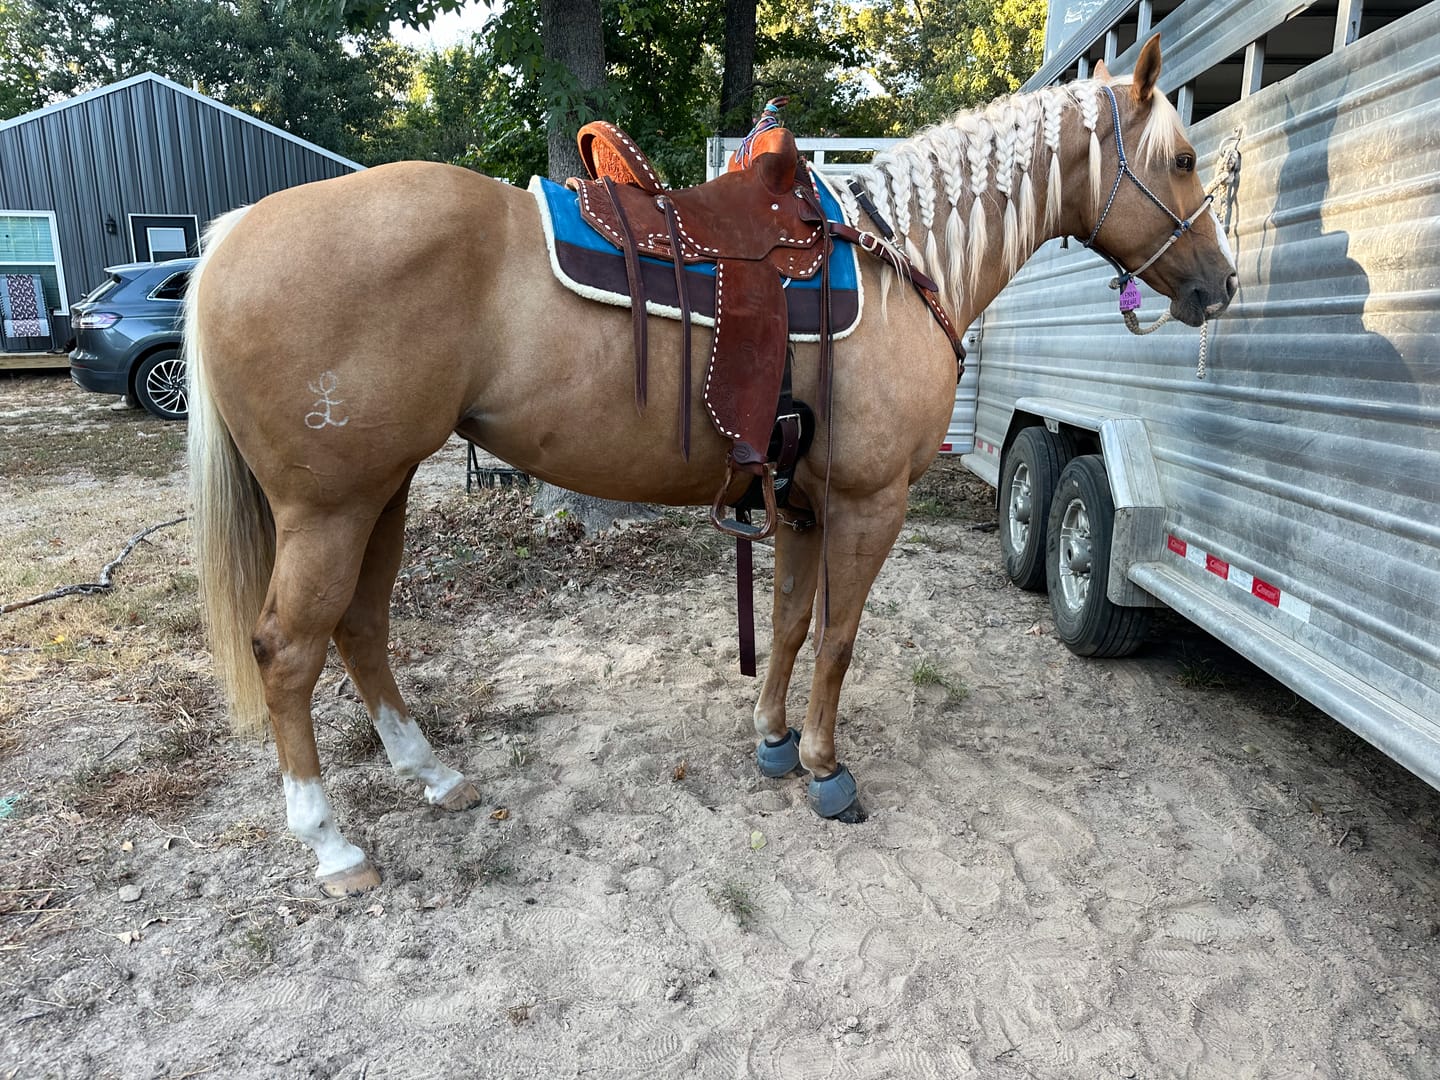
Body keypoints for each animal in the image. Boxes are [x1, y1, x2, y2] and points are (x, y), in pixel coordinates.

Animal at [186, 36, 1236, 895]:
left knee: (361, 628)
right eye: (1184, 160)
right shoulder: (868, 503)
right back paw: (331, 845)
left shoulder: (802, 502)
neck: (902, 257)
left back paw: (431, 773)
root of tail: (233, 232)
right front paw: (824, 769)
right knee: (288, 649)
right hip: (331, 507)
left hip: (382, 494)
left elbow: (789, 623)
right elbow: (839, 638)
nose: (1221, 285)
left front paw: (773, 740)